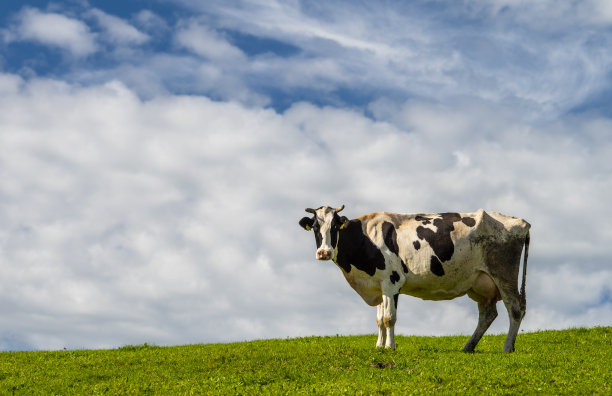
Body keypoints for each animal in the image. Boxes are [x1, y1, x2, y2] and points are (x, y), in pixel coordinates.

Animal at [298, 206, 528, 352]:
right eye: (316, 228)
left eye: (334, 227)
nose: (324, 252)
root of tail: (519, 221)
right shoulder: (379, 285)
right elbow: (379, 319)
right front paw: (379, 346)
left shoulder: (392, 282)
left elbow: (389, 318)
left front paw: (390, 347)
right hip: (481, 284)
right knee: (488, 314)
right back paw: (468, 347)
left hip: (504, 274)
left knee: (515, 309)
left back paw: (507, 348)